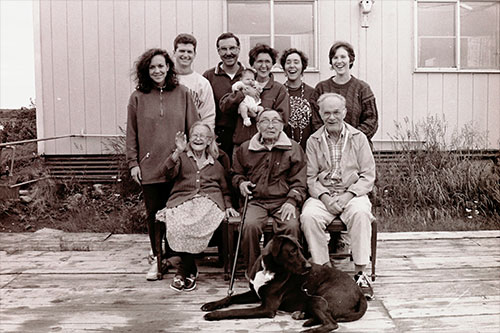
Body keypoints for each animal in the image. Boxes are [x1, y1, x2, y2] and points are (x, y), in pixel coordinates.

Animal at [200, 235, 368, 330]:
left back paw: (308, 328)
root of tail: (360, 292)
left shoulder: (267, 308)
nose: (308, 266)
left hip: (318, 298)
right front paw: (212, 304)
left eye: (300, 249)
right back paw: (302, 316)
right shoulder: (254, 293)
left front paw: (214, 314)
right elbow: (231, 297)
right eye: (293, 251)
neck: (269, 269)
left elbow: (236, 311)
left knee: (332, 323)